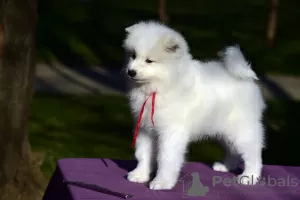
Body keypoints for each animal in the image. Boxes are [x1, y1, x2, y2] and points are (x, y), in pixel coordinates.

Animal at [123, 21, 266, 190]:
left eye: (149, 61)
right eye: (133, 56)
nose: (131, 72)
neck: (160, 86)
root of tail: (245, 77)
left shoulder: (171, 132)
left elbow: (166, 158)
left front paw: (162, 182)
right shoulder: (145, 129)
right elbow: (143, 154)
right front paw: (140, 175)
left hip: (241, 130)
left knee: (253, 153)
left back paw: (249, 176)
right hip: (223, 130)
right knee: (233, 150)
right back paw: (225, 166)